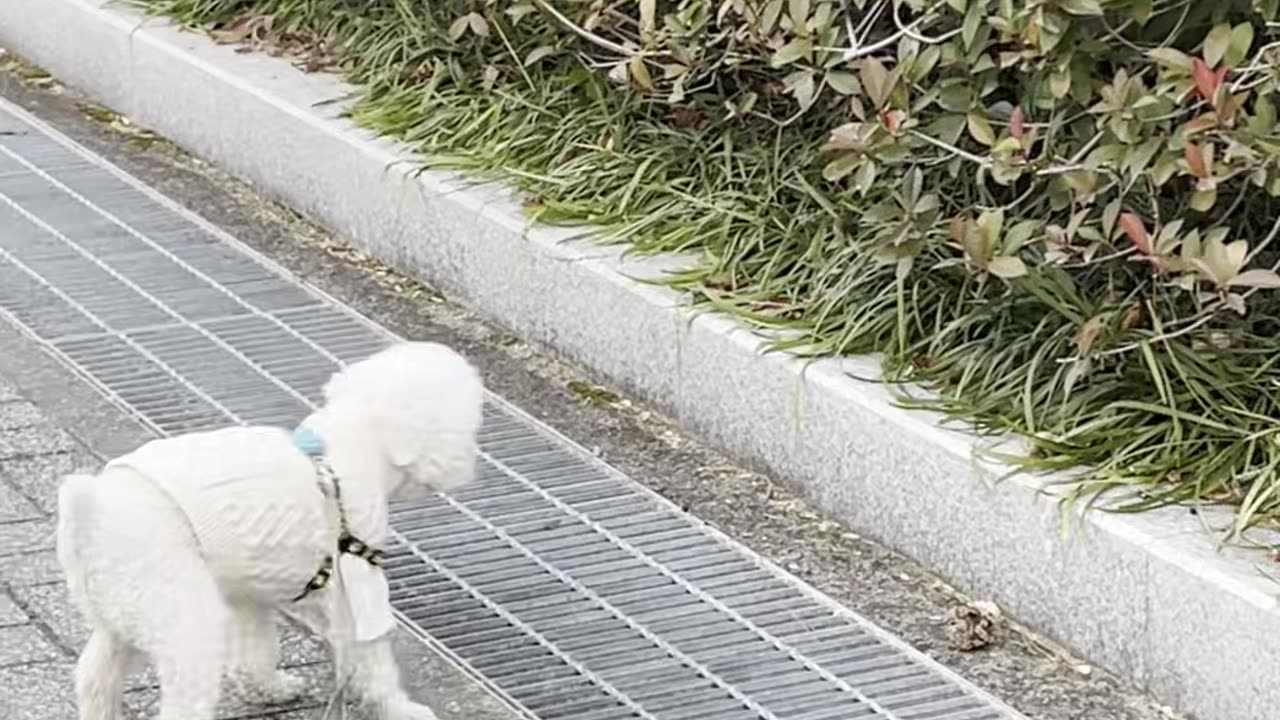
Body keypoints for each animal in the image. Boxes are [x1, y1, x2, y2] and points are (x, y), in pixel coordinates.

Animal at [53, 340, 483, 717]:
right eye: (467, 429)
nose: (470, 465)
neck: (355, 441)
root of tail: (91, 513)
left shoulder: (247, 591)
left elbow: (256, 648)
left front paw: (269, 689)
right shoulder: (357, 576)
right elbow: (373, 660)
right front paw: (402, 708)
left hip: (120, 616)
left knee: (95, 679)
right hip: (181, 617)